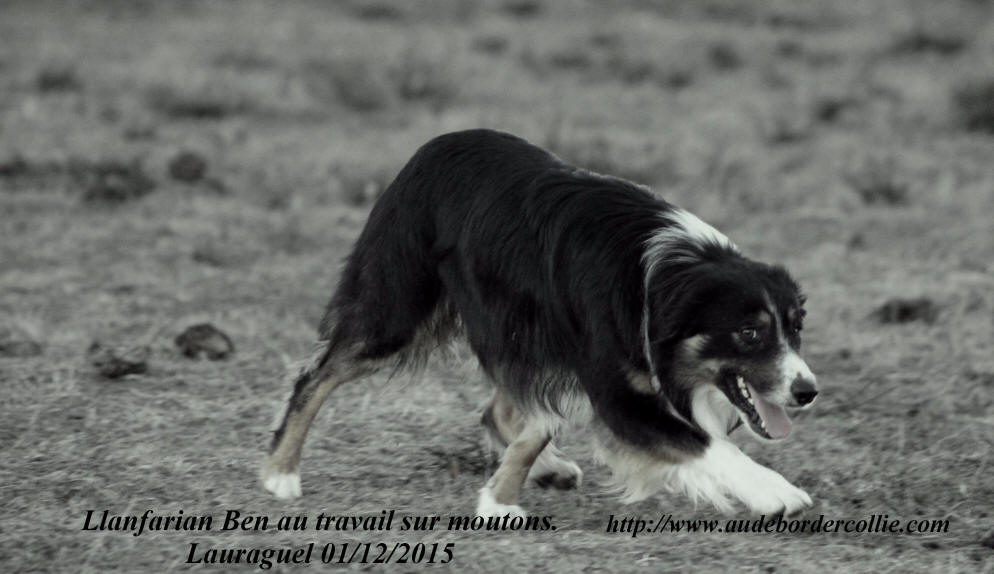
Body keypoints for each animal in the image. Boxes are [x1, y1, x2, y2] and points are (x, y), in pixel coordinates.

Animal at [260, 129, 816, 516]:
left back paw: (543, 470)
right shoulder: (617, 390)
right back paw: (280, 473)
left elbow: (538, 423)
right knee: (316, 376)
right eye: (749, 332)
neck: (666, 278)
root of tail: (437, 144)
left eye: (795, 328)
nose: (808, 392)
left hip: (526, 335)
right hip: (397, 308)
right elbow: (705, 443)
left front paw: (499, 500)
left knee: (505, 410)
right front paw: (774, 491)